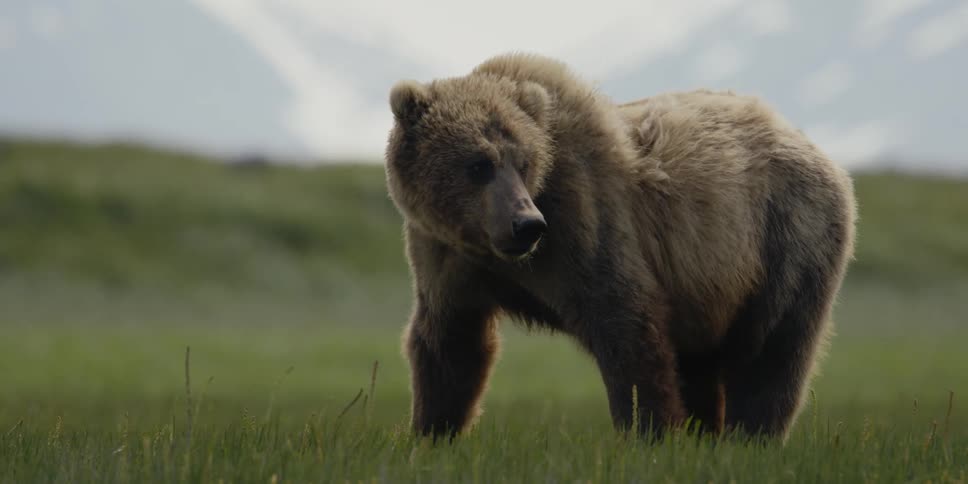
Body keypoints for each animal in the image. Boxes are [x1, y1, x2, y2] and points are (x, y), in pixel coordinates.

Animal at [384, 53, 856, 440]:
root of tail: (820, 152)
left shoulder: (584, 220)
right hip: (709, 292)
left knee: (772, 349)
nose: (526, 225)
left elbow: (626, 326)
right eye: (479, 164)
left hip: (785, 234)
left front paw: (649, 433)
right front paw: (431, 431)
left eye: (523, 162)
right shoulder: (444, 256)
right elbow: (451, 344)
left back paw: (749, 435)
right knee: (702, 361)